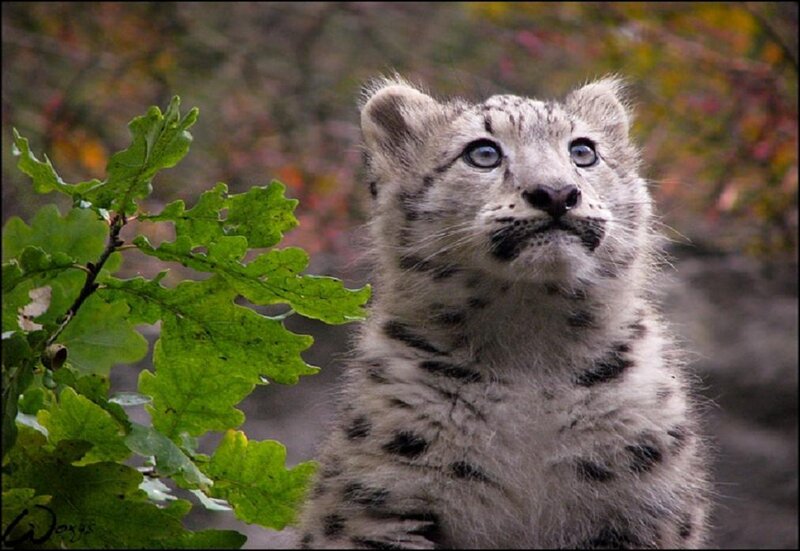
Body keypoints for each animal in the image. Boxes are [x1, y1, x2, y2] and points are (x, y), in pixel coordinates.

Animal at [295, 76, 711, 549]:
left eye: (583, 151)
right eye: (483, 153)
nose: (557, 193)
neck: (529, 336)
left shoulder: (643, 507)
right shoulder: (383, 504)